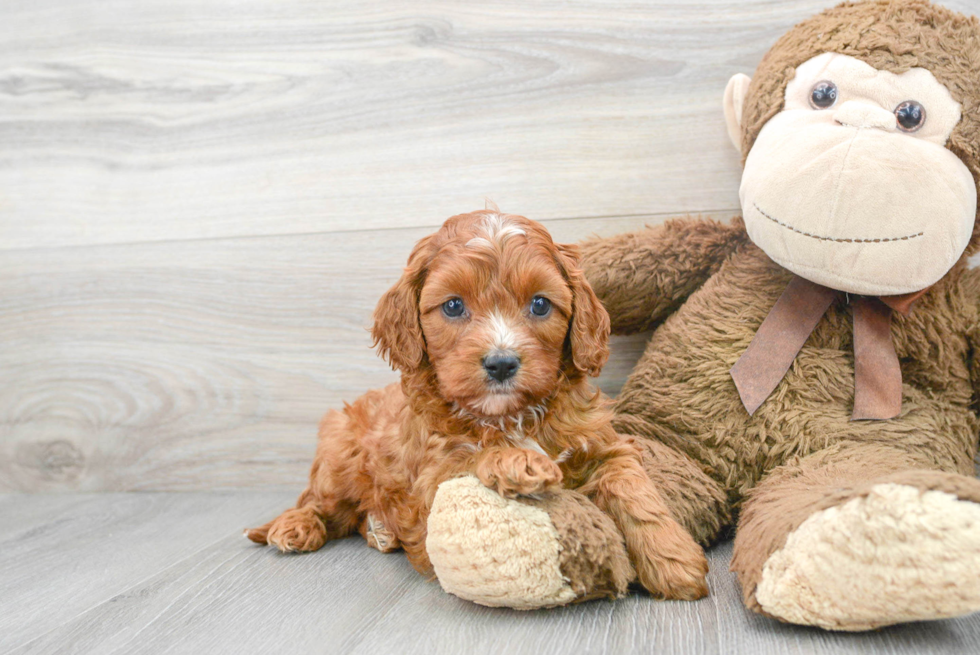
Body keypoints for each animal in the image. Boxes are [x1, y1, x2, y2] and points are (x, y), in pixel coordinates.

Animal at [249, 210, 708, 600]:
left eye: (540, 304)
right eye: (453, 305)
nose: (501, 363)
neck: (512, 416)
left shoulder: (601, 443)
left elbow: (633, 489)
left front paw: (675, 561)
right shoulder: (429, 483)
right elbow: (468, 457)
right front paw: (515, 461)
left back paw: (379, 530)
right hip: (339, 456)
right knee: (316, 500)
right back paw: (295, 526)